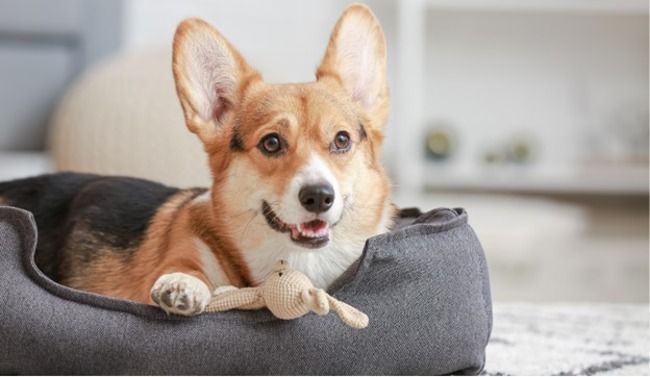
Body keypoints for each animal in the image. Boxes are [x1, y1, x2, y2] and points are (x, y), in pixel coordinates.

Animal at [0, 3, 390, 314]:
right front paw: (182, 286)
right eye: (271, 143)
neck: (292, 262)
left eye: (341, 140)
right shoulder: (185, 251)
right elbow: (185, 270)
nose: (319, 197)